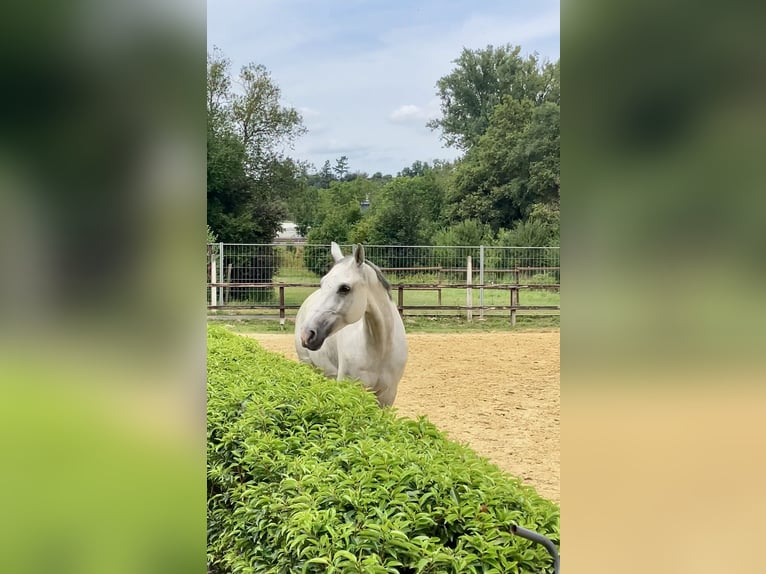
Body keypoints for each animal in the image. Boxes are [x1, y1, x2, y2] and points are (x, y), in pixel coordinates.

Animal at [296, 243, 412, 410]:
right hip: (307, 365)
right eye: (322, 283)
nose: (307, 334)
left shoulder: (387, 396)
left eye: (345, 288)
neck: (380, 350)